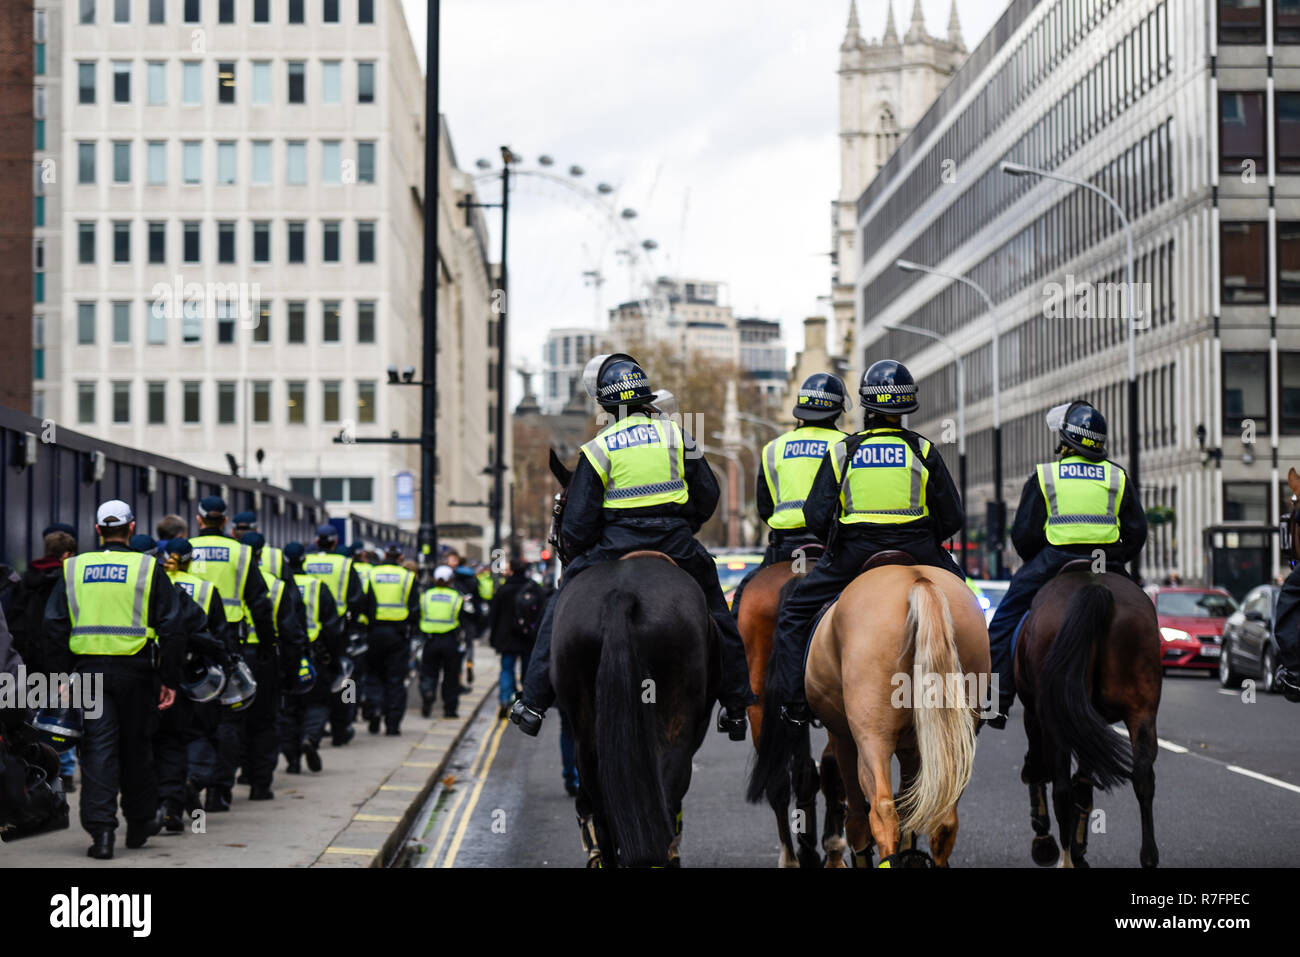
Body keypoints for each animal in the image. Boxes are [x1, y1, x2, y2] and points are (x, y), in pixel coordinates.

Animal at [754, 561, 982, 868]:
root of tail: (918, 580)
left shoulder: (843, 737)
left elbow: (856, 816)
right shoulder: (911, 746)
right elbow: (909, 806)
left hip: (872, 737)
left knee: (881, 810)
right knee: (943, 819)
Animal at [1019, 564, 1164, 868]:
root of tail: (1096, 588)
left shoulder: (1036, 715)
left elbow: (1042, 770)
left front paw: (1045, 840)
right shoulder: (1088, 725)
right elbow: (1084, 787)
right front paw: (1078, 847)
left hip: (1055, 720)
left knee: (1061, 788)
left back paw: (1065, 858)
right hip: (1141, 711)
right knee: (1143, 778)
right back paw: (1148, 856)